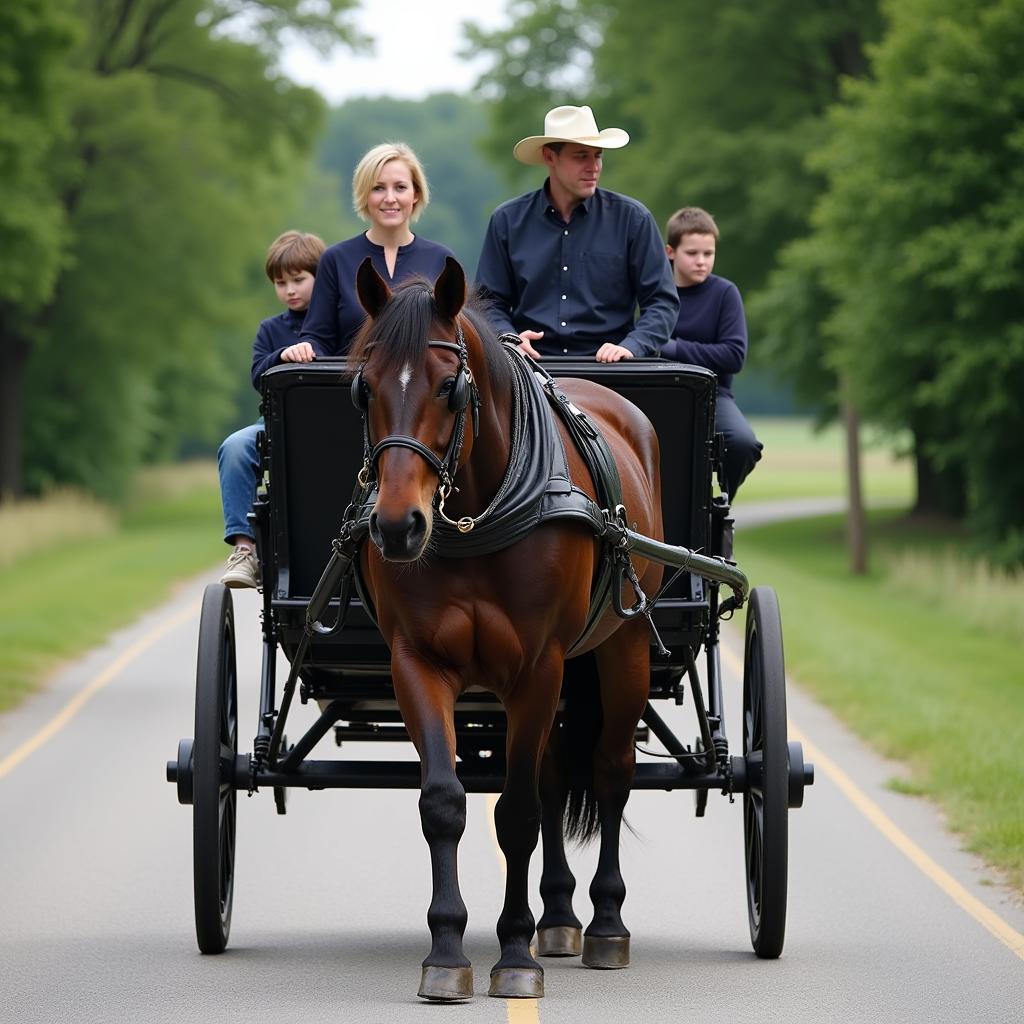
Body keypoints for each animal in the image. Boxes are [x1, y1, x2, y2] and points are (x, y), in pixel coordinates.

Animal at [344, 256, 663, 999]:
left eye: (449, 386)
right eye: (363, 389)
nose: (397, 527)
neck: (478, 516)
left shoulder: (537, 666)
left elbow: (514, 815)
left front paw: (514, 954)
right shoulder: (417, 662)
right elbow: (446, 802)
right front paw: (446, 952)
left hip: (623, 647)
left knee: (610, 771)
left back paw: (605, 924)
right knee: (553, 778)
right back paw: (558, 916)